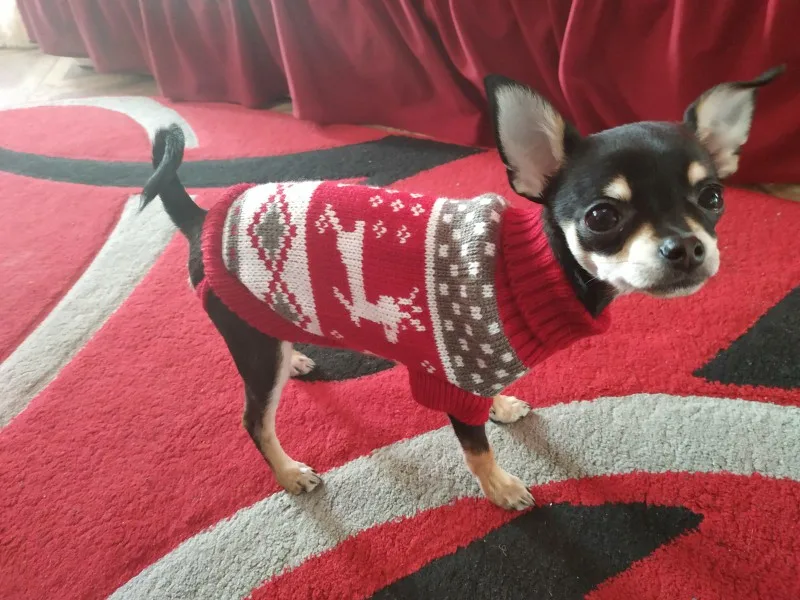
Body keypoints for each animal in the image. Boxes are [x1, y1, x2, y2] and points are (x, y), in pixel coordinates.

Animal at [140, 67, 782, 510]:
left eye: (713, 198)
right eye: (603, 216)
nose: (688, 248)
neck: (532, 267)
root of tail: (202, 217)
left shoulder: (478, 364)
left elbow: (487, 405)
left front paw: (500, 406)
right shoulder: (449, 380)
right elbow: (475, 448)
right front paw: (500, 489)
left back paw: (296, 355)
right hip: (250, 351)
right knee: (255, 420)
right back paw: (289, 471)